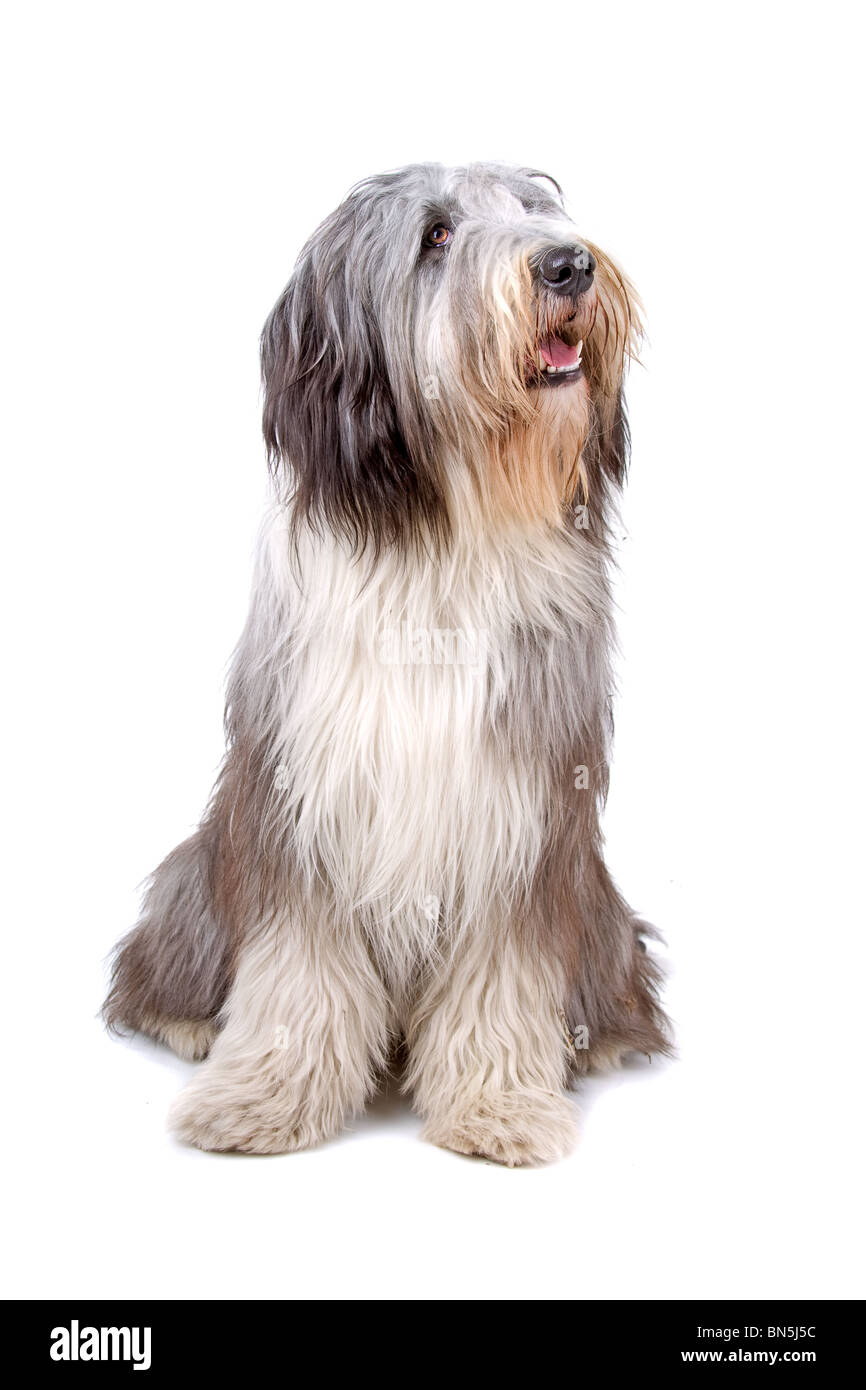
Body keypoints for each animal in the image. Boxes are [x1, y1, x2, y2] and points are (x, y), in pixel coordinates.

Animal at [101, 159, 670, 1162]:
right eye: (437, 236)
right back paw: (185, 1019)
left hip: (597, 904)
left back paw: (600, 1038)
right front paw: (262, 1099)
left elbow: (503, 974)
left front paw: (497, 1106)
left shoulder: (523, 815)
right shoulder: (302, 800)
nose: (568, 264)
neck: (448, 532)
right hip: (195, 874)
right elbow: (298, 967)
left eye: (537, 209)